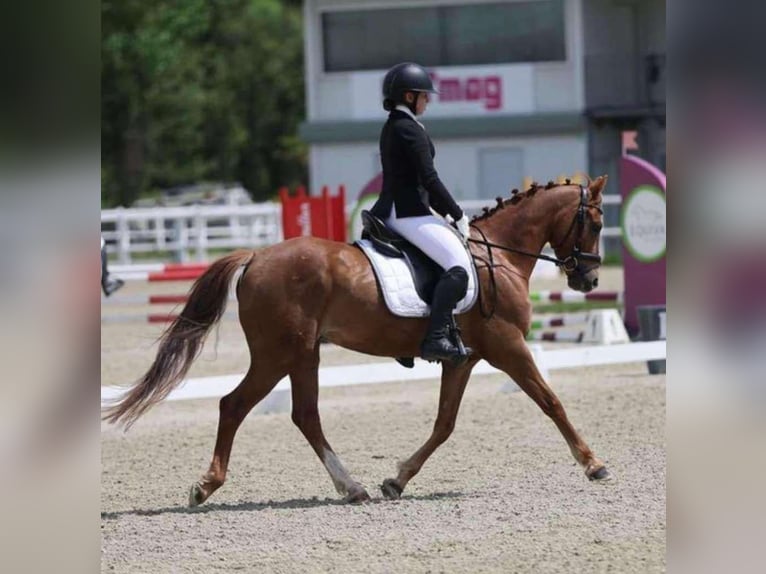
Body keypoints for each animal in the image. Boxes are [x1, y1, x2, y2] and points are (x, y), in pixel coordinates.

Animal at [105, 178, 616, 506]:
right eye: (594, 223)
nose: (589, 279)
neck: (500, 257)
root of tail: (257, 256)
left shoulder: (462, 360)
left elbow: (444, 423)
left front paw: (398, 480)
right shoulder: (507, 346)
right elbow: (551, 402)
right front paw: (593, 464)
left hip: (301, 353)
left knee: (303, 415)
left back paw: (351, 487)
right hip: (281, 352)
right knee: (238, 405)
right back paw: (209, 485)